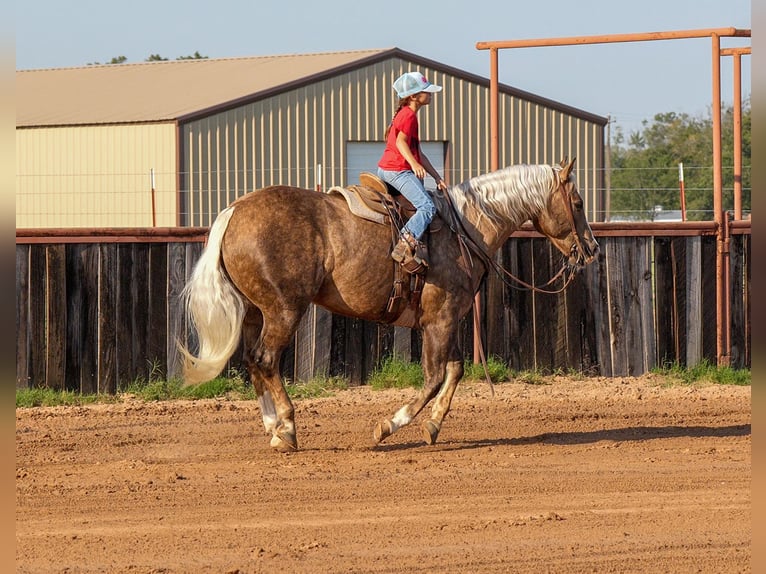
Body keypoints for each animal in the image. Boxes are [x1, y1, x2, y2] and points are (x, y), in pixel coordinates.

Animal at [178, 158, 600, 454]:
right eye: (578, 203)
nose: (592, 249)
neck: (466, 228)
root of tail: (235, 210)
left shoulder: (444, 319)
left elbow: (455, 370)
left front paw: (433, 426)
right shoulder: (442, 319)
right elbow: (433, 377)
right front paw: (388, 426)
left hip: (255, 311)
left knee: (252, 361)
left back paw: (272, 428)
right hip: (284, 310)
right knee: (266, 360)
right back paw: (288, 428)